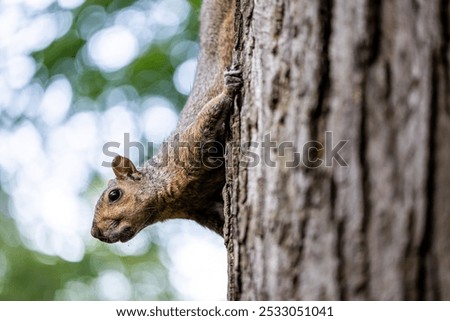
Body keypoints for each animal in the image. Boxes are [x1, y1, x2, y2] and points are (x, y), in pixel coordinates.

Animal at [89, 0, 241, 241]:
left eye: (114, 195)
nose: (95, 233)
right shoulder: (202, 207)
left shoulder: (189, 145)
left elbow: (209, 115)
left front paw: (228, 88)